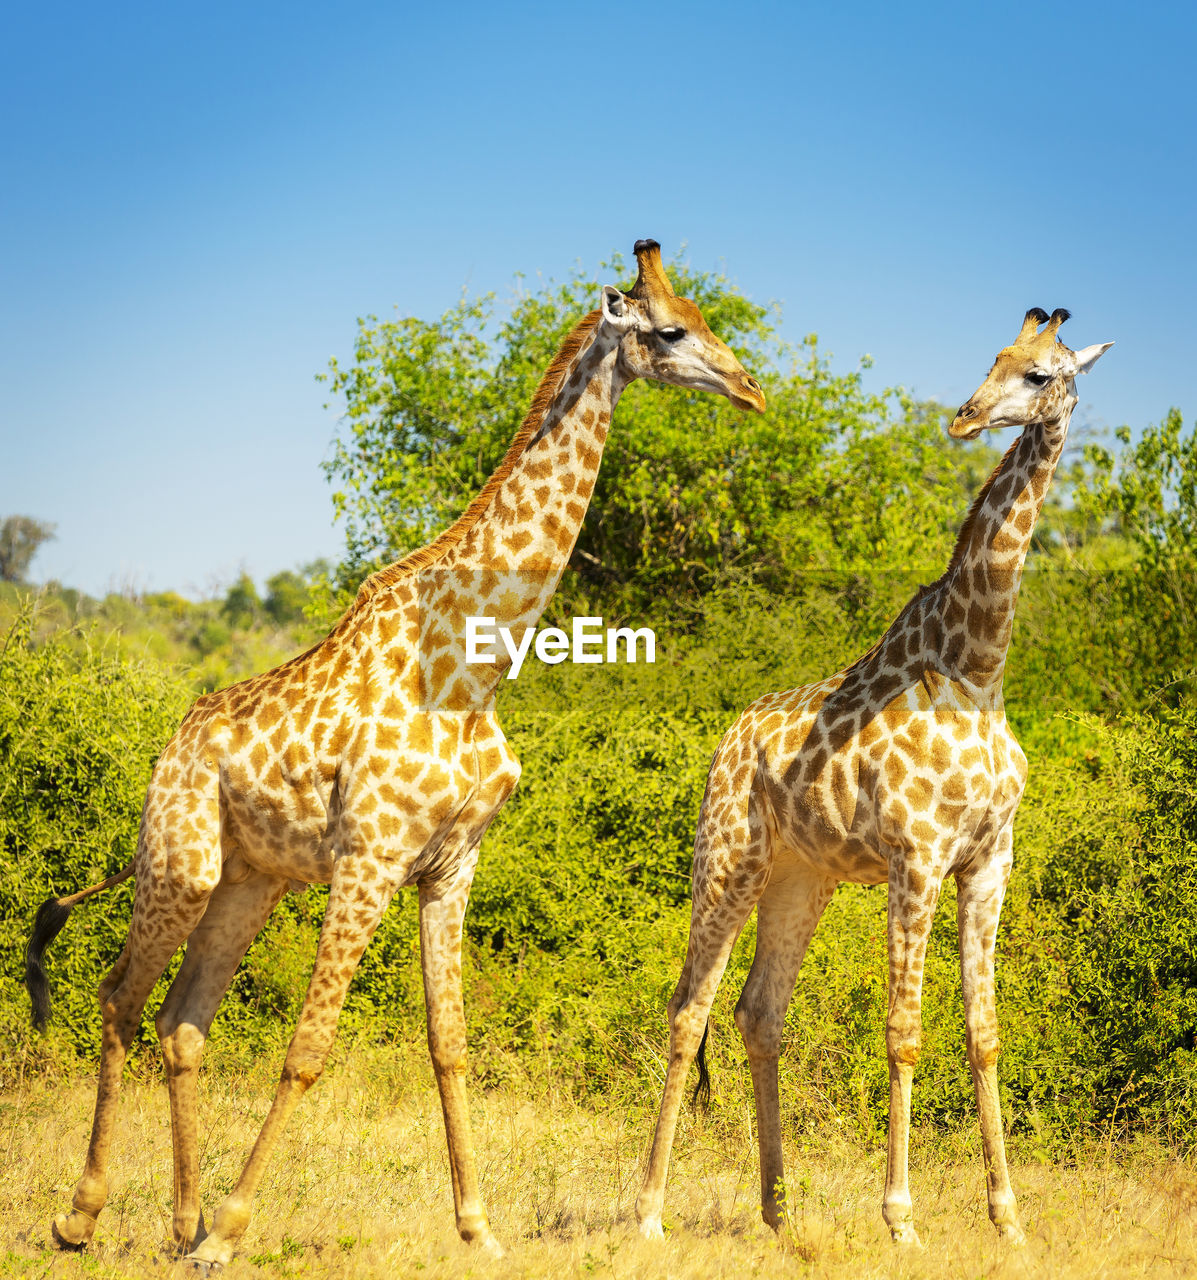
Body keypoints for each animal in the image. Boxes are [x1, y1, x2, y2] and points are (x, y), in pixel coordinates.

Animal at [28, 240, 768, 1269]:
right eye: (667, 331)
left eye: (703, 319)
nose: (750, 389)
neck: (469, 663)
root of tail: (170, 749)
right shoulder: (370, 857)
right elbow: (309, 1045)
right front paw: (233, 1233)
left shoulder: (450, 864)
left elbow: (448, 1039)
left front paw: (477, 1227)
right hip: (180, 860)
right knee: (117, 998)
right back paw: (85, 1215)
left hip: (250, 880)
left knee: (182, 1022)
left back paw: (178, 1221)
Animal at [637, 309, 1116, 1249]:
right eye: (995, 359)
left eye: (1039, 374)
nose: (965, 418)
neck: (978, 668)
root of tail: (725, 742)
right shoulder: (916, 857)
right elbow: (902, 1031)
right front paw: (899, 1219)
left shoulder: (988, 861)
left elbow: (983, 1032)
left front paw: (1007, 1217)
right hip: (727, 860)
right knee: (687, 1011)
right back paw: (645, 1211)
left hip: (802, 876)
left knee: (758, 1012)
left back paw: (776, 1212)